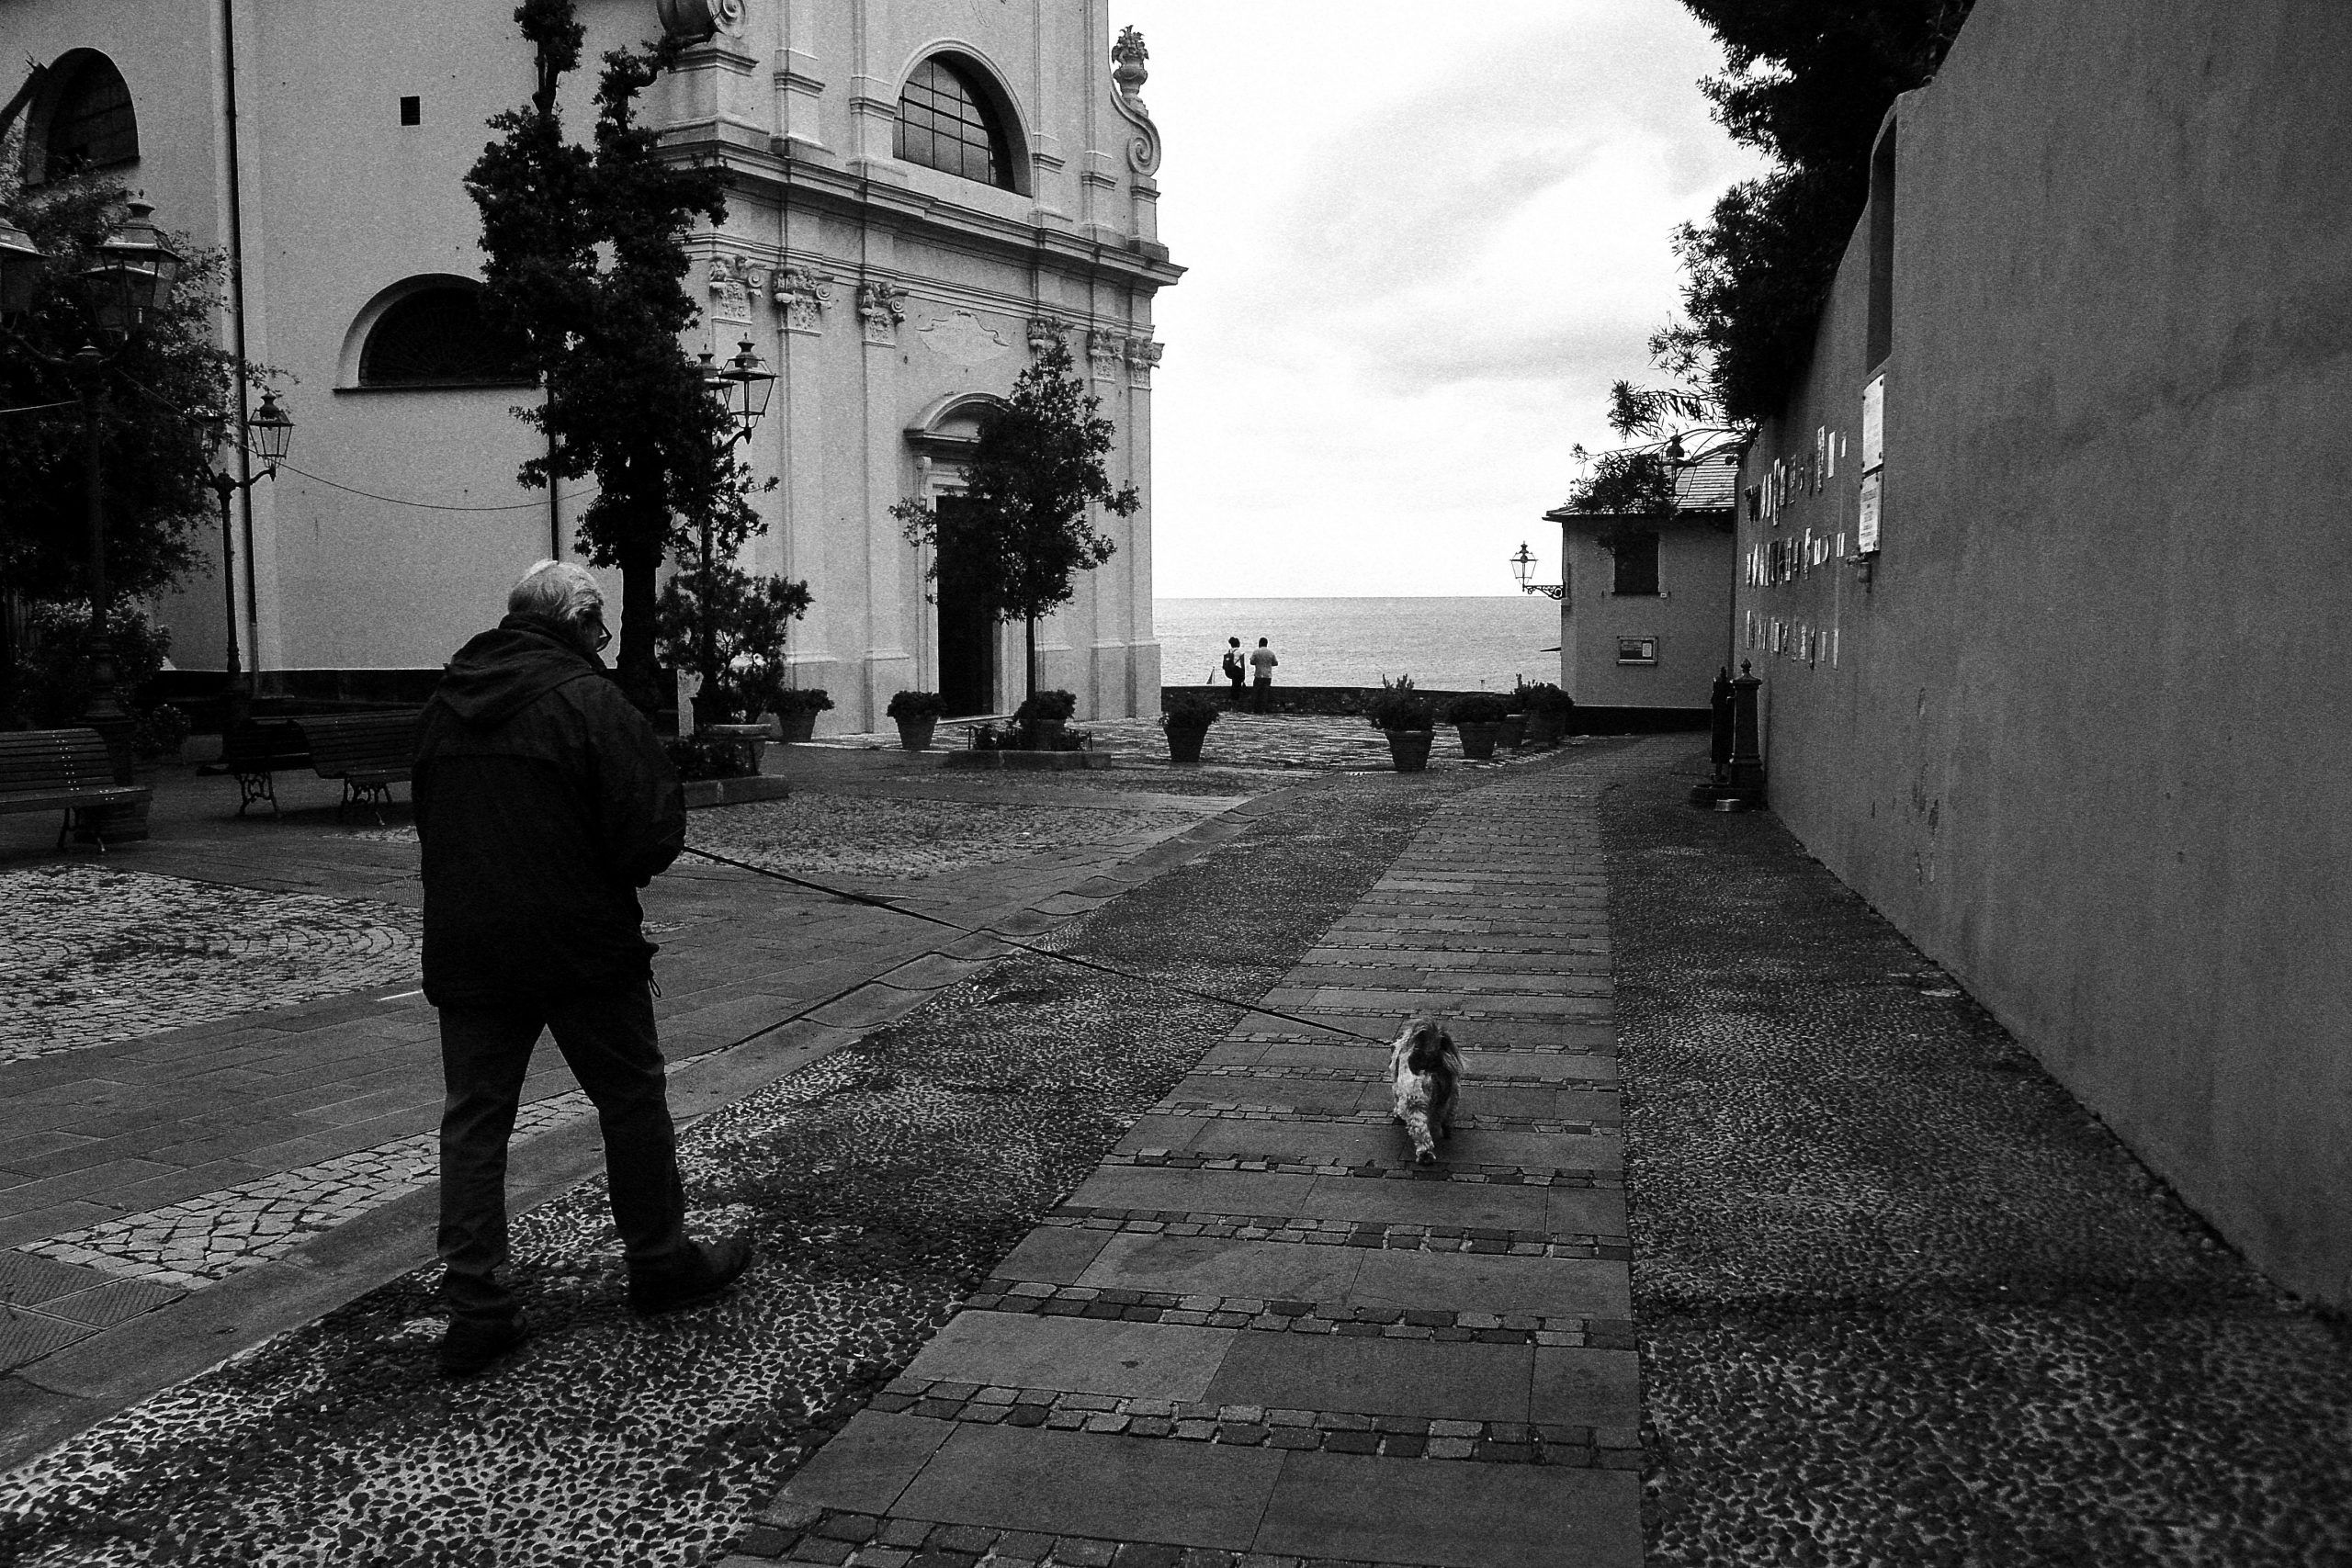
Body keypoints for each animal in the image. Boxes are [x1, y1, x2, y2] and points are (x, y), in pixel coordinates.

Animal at [1383, 1020, 1458, 1166]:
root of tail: (1429, 1058)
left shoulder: (1398, 1088)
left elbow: (1396, 1099)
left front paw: (1397, 1114)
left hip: (1415, 1101)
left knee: (1421, 1131)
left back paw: (1425, 1155)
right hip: (1450, 1096)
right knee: (1446, 1116)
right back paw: (1446, 1130)